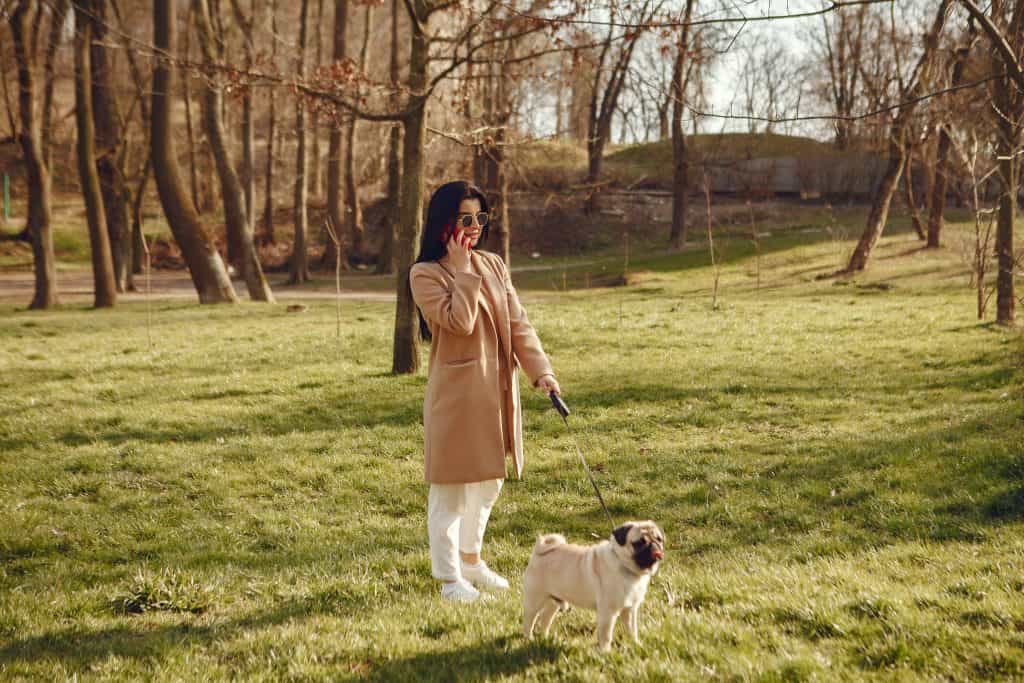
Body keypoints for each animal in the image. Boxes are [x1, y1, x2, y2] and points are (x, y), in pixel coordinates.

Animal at [520, 520, 663, 651]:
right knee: (529, 621)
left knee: (545, 618)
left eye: (659, 539)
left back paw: (544, 638)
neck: (625, 565)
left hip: (553, 601)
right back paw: (529, 639)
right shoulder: (608, 612)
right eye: (639, 543)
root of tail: (538, 551)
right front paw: (606, 653)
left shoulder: (630, 609)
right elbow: (606, 635)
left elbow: (632, 630)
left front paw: (635, 644)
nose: (655, 546)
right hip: (535, 600)